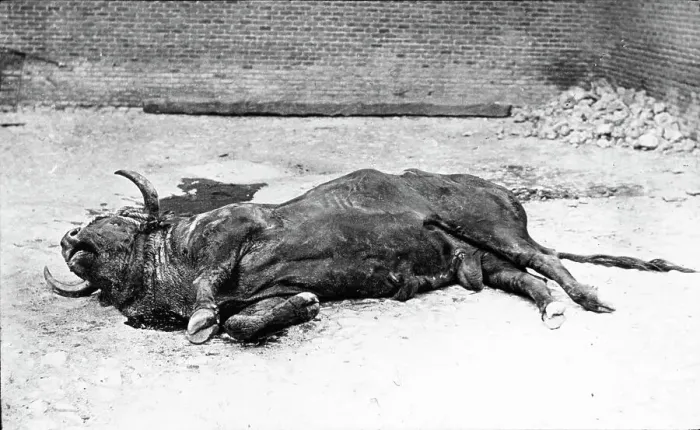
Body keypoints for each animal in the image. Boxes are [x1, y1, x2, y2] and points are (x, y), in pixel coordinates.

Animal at [45, 169, 695, 344]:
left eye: (103, 223)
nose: (70, 239)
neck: (168, 267)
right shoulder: (258, 295)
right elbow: (244, 322)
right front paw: (305, 307)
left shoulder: (238, 231)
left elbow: (212, 302)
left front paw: (202, 316)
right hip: (483, 262)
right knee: (529, 279)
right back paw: (553, 309)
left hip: (493, 228)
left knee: (550, 261)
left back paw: (586, 298)